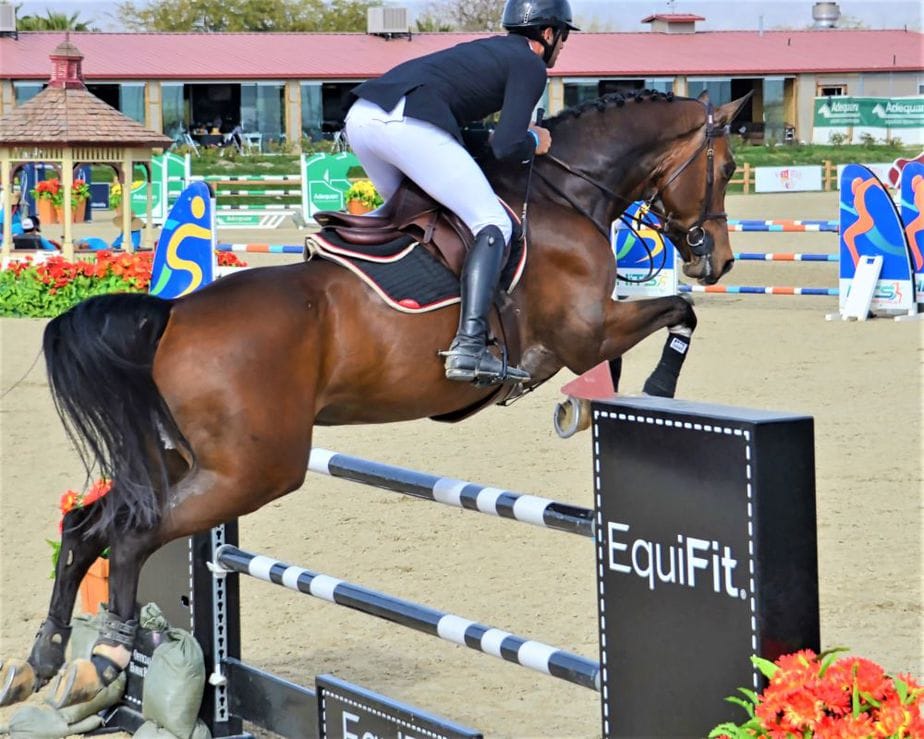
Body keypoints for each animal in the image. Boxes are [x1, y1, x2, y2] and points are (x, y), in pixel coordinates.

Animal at [0, 89, 748, 708]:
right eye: (728, 166)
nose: (718, 260)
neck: (565, 193)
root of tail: (171, 316)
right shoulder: (586, 329)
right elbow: (676, 312)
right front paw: (648, 392)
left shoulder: (587, 333)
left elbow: (644, 334)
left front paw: (586, 405)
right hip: (253, 472)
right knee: (130, 536)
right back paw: (104, 656)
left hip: (185, 461)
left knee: (85, 527)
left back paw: (43, 660)